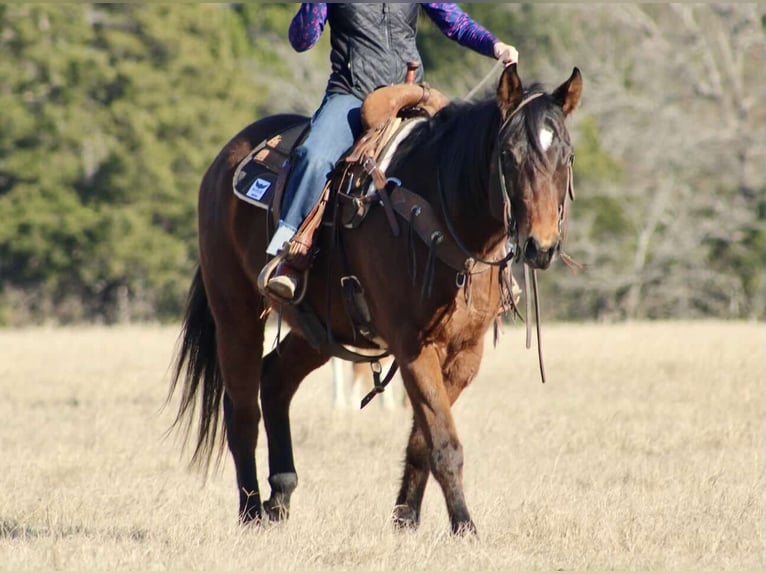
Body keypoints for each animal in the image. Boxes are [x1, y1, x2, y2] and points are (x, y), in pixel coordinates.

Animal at [169, 64, 582, 534]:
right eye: (509, 155)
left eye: (567, 155)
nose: (540, 246)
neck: (441, 210)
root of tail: (224, 162)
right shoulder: (412, 346)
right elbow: (444, 442)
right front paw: (464, 526)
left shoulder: (465, 353)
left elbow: (423, 439)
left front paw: (406, 519)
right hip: (235, 311)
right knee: (241, 409)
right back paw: (252, 511)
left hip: (320, 330)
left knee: (274, 379)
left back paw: (281, 496)